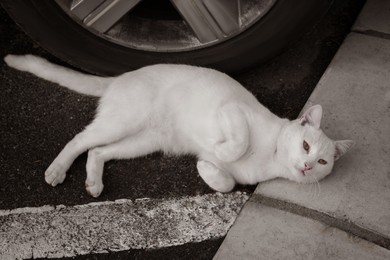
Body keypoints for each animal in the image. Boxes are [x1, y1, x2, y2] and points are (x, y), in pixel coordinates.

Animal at [4, 54, 354, 197]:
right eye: (305, 146)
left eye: (322, 162)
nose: (307, 166)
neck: (270, 157)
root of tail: (120, 77)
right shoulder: (232, 110)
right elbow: (237, 142)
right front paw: (222, 150)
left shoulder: (236, 174)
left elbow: (227, 183)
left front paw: (207, 170)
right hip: (123, 122)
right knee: (79, 140)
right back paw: (57, 170)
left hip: (143, 141)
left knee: (97, 151)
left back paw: (93, 182)